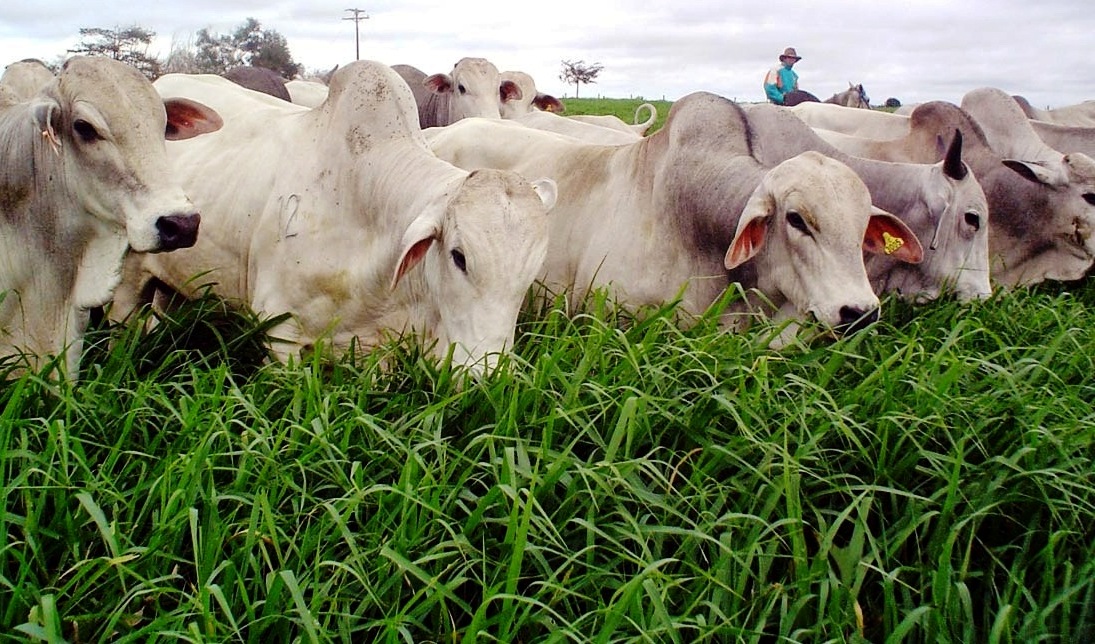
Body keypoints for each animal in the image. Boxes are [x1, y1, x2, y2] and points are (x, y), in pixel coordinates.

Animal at [117, 61, 556, 372]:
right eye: (459, 257)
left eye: (530, 271)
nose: (486, 373)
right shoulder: (280, 331)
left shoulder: (377, 347)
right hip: (127, 280)